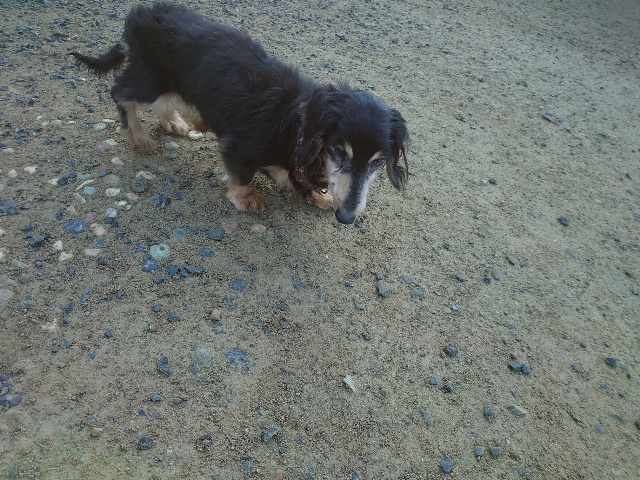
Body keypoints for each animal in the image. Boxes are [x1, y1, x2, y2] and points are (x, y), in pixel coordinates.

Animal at [70, 2, 408, 224]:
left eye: (378, 162)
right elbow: (243, 175)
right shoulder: (238, 148)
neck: (296, 123)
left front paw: (319, 194)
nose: (346, 217)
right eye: (338, 150)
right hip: (149, 80)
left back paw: (175, 121)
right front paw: (246, 198)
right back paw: (139, 136)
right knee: (120, 92)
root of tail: (138, 13)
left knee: (164, 101)